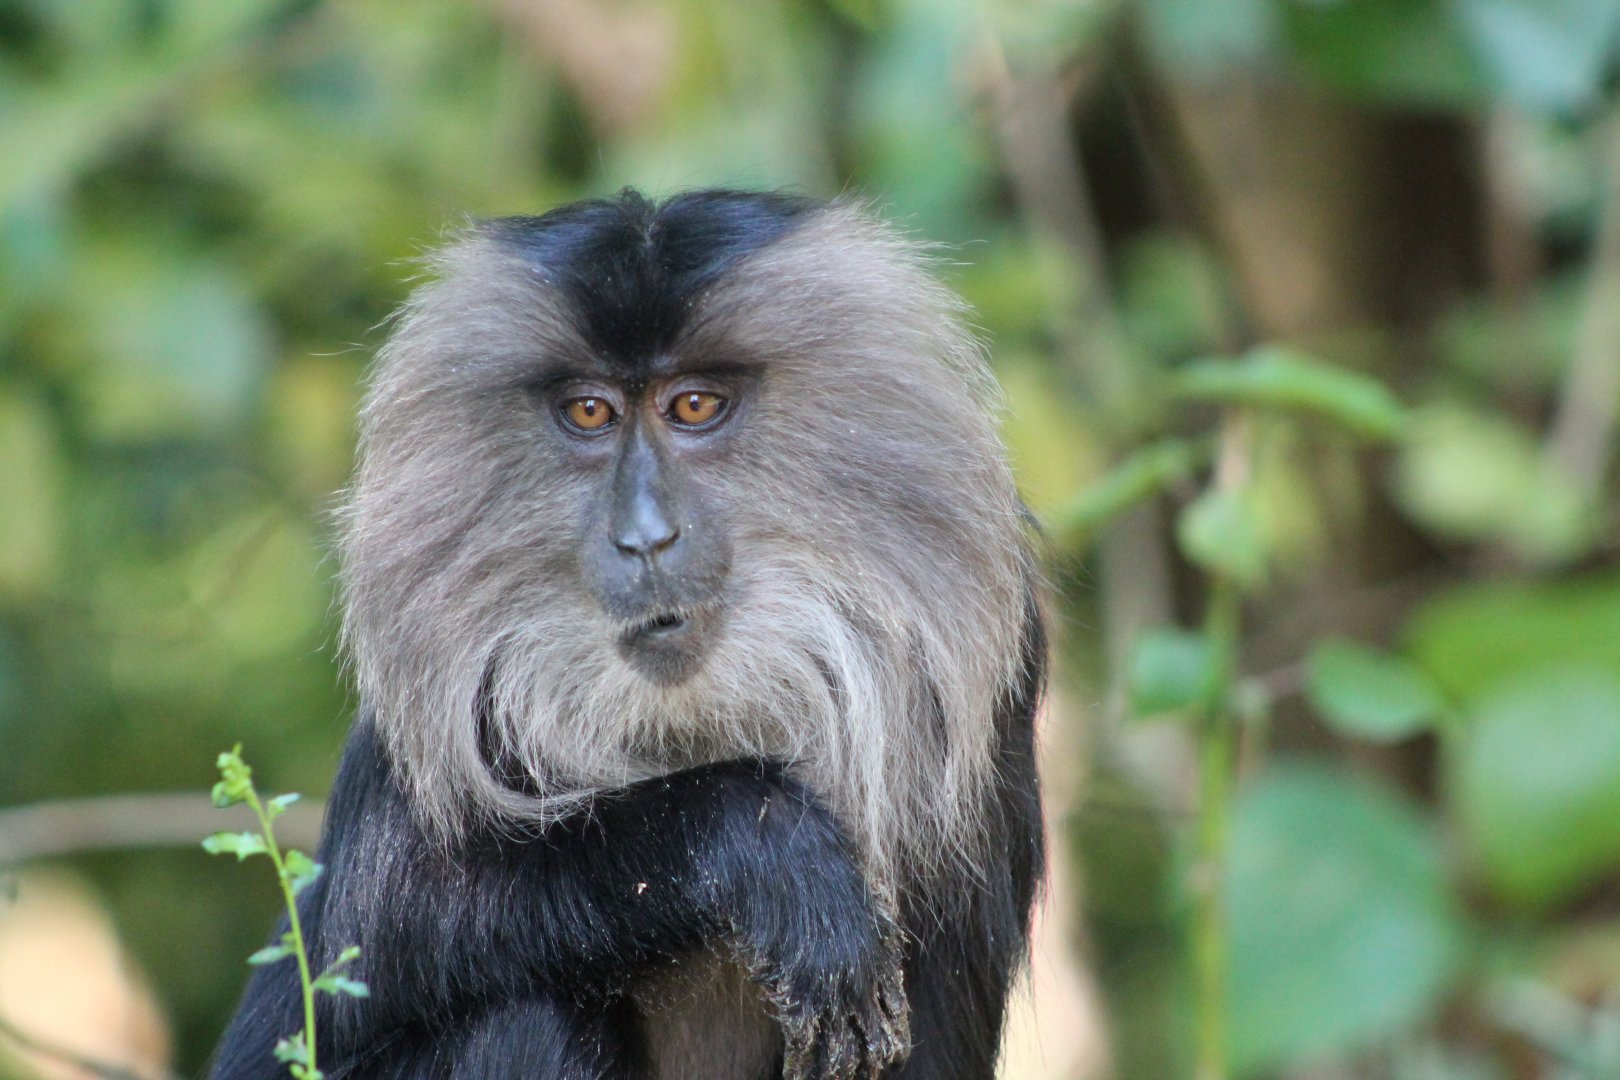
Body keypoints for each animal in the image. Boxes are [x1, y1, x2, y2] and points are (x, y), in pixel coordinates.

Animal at [211, 189, 1046, 1080]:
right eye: (590, 411)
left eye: (694, 406)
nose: (643, 537)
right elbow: (386, 915)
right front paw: (772, 852)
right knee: (526, 1019)